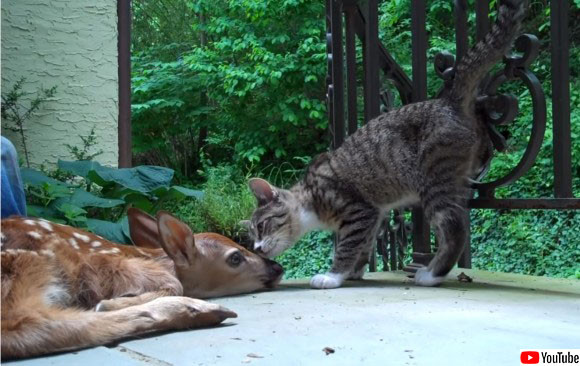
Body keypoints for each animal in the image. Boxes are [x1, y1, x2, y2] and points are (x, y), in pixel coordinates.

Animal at [245, 1, 524, 290]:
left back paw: (432, 274)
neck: (310, 196)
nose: (257, 249)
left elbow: (346, 247)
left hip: (435, 180)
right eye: (252, 234)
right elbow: (364, 245)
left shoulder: (358, 210)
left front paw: (333, 275)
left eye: (261, 226)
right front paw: (355, 271)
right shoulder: (375, 215)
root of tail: (448, 102)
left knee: (454, 228)